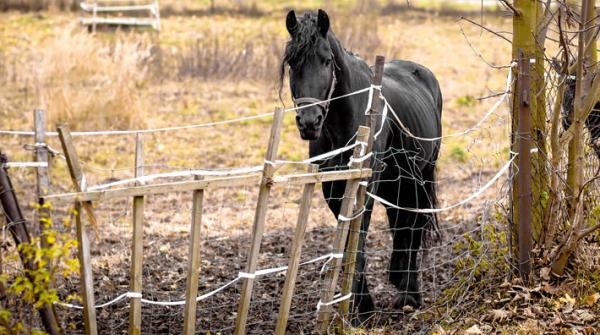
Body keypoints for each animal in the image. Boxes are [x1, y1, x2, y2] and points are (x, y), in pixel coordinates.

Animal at [278, 8, 442, 322]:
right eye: (292, 62)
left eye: (326, 60)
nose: (309, 122)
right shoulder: (333, 189)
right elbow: (347, 243)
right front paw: (359, 304)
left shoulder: (363, 188)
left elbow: (359, 241)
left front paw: (359, 310)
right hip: (397, 181)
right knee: (400, 222)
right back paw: (400, 280)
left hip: (421, 175)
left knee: (413, 225)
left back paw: (410, 294)